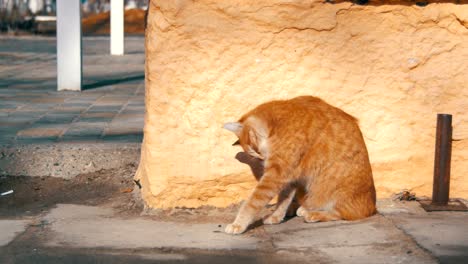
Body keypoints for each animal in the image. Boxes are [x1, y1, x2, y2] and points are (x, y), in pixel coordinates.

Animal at [223, 96, 376, 234]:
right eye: (254, 155)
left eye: (255, 151)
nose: (263, 159)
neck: (277, 123)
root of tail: (372, 207)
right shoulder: (287, 175)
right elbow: (283, 200)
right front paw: (276, 217)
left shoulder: (275, 175)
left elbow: (252, 202)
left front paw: (238, 224)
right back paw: (303, 208)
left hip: (335, 192)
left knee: (343, 214)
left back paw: (314, 214)